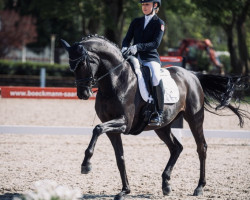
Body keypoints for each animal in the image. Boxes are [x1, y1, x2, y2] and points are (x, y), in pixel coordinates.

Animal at [61, 35, 250, 199]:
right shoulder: (113, 129)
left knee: (201, 147)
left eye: (84, 62)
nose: (83, 94)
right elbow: (119, 157)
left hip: (194, 119)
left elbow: (97, 129)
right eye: (71, 66)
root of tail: (192, 75)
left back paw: (199, 187)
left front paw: (86, 164)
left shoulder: (124, 123)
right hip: (162, 127)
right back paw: (166, 184)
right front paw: (124, 191)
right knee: (176, 148)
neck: (115, 82)